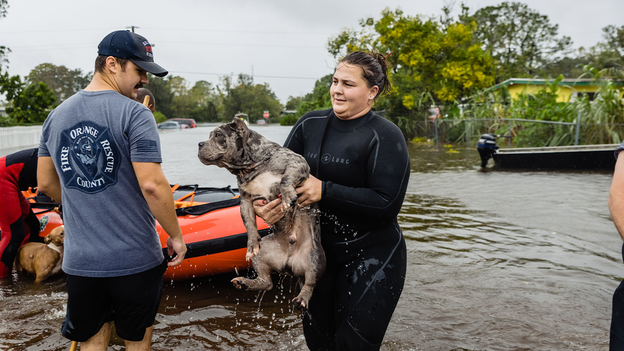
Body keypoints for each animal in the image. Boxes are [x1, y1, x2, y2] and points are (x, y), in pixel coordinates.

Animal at [199, 119, 326, 310]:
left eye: (218, 135)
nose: (199, 144)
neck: (250, 167)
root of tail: (288, 264)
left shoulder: (297, 163)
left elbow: (285, 180)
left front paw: (287, 196)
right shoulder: (245, 200)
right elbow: (249, 223)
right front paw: (251, 243)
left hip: (315, 258)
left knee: (310, 282)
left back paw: (302, 298)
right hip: (263, 252)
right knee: (267, 282)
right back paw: (244, 283)